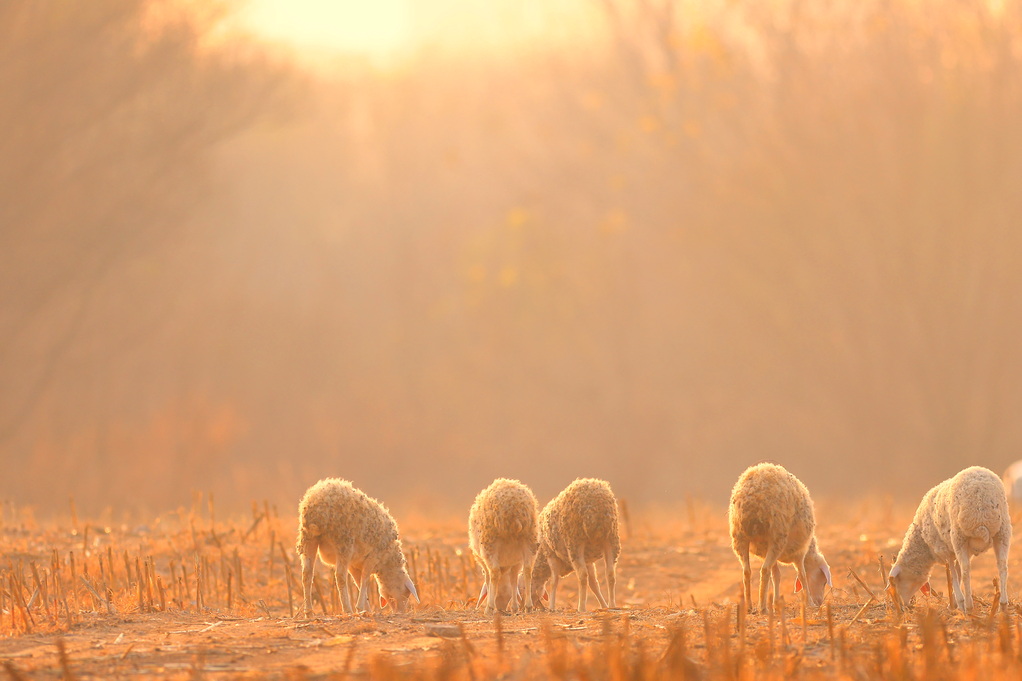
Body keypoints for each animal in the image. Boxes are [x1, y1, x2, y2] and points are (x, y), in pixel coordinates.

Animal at [296, 476, 419, 613]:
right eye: (406, 593)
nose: (400, 612)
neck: (387, 563)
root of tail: (317, 506)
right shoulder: (373, 557)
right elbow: (365, 580)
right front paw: (361, 607)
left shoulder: (354, 564)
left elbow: (358, 582)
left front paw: (365, 609)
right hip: (343, 541)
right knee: (340, 576)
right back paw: (347, 609)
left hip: (308, 538)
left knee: (307, 575)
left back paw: (308, 612)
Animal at [468, 474, 539, 613]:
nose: (501, 608)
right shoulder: (516, 561)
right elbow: (514, 580)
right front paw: (515, 607)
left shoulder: (482, 561)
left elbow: (488, 579)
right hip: (530, 539)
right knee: (528, 570)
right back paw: (528, 606)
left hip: (489, 542)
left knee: (494, 572)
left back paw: (489, 608)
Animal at [527, 476, 621, 609]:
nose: (528, 608)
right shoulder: (588, 560)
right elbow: (594, 583)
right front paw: (604, 606)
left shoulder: (550, 554)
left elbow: (554, 582)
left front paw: (552, 607)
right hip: (611, 539)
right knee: (610, 574)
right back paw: (612, 605)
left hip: (575, 541)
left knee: (582, 576)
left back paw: (581, 607)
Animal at [727, 462, 829, 609]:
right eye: (823, 580)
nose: (819, 602)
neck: (809, 550)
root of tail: (753, 494)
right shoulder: (800, 553)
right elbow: (802, 575)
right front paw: (809, 603)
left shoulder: (769, 554)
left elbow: (777, 576)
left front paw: (776, 603)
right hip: (777, 536)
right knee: (764, 570)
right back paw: (762, 607)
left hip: (740, 537)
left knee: (747, 571)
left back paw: (749, 606)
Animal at [887, 462, 1013, 609]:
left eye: (897, 583)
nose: (903, 607)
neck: (923, 544)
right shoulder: (959, 551)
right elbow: (957, 574)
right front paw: (956, 603)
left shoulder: (945, 550)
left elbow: (953, 575)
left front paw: (958, 602)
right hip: (1003, 532)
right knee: (1002, 566)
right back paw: (1003, 605)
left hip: (959, 536)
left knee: (966, 570)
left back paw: (969, 606)